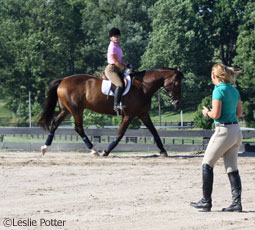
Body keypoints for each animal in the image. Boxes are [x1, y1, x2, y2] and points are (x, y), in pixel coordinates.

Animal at [37, 67, 182, 156]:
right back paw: (94, 150)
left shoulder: (143, 114)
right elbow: (120, 134)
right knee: (78, 128)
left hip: (66, 110)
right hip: (76, 110)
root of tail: (63, 80)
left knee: (54, 124)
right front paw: (106, 151)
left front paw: (163, 151)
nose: (176, 101)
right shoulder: (129, 115)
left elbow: (154, 131)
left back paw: (45, 147)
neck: (143, 87)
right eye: (176, 83)